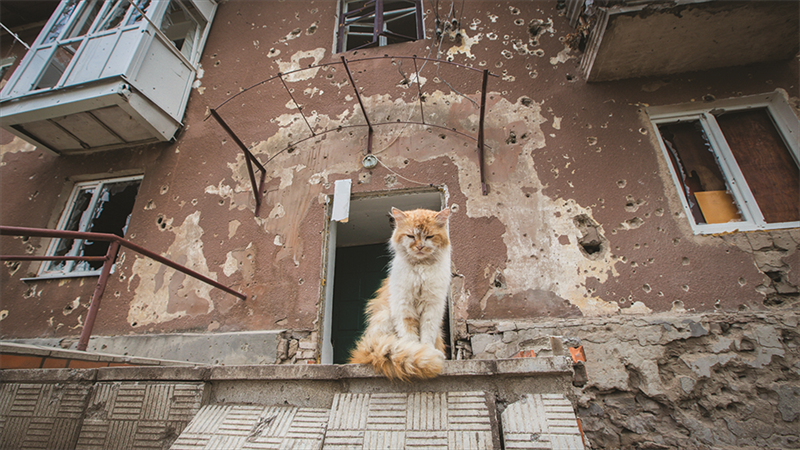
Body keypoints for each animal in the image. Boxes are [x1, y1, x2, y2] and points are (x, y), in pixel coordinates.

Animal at [348, 207, 454, 380]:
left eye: (429, 236)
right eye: (411, 236)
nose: (420, 247)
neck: (420, 268)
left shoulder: (432, 307)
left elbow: (427, 334)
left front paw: (428, 350)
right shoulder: (404, 305)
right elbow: (409, 336)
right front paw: (417, 351)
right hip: (384, 317)